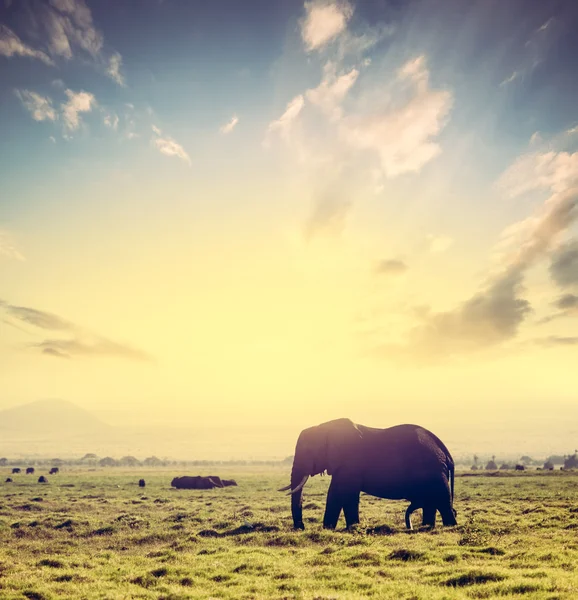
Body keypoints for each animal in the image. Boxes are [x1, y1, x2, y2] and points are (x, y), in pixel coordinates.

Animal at [280, 418, 454, 528]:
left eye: (308, 452)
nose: (301, 527)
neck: (325, 427)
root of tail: (444, 449)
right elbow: (347, 495)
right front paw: (352, 527)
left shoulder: (350, 462)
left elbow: (338, 493)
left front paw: (329, 528)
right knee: (432, 502)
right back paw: (427, 527)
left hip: (434, 471)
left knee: (442, 500)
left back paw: (448, 526)